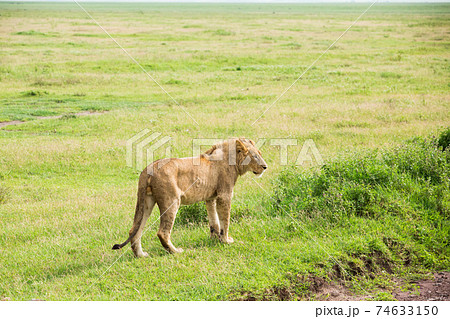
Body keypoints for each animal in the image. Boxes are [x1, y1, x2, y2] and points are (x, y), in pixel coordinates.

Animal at [112, 138, 268, 258]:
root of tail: (149, 168)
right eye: (255, 156)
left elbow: (214, 221)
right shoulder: (225, 195)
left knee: (135, 230)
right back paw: (175, 251)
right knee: (162, 232)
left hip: (146, 202)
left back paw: (141, 255)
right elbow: (225, 220)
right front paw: (226, 240)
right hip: (172, 201)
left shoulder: (210, 197)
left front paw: (215, 239)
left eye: (260, 154)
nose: (265, 167)